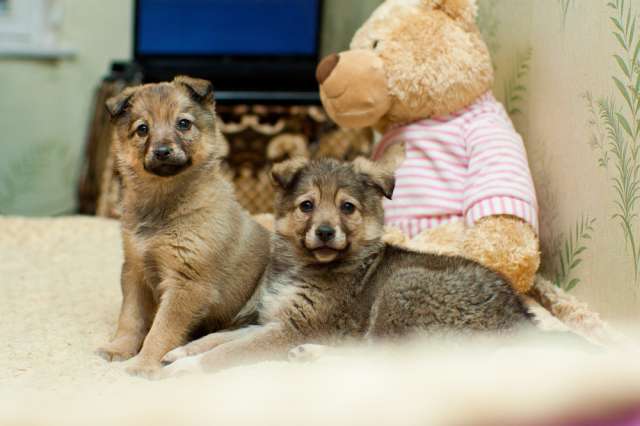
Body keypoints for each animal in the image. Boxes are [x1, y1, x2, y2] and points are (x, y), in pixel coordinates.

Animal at [96, 75, 272, 376]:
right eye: (142, 129)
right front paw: (119, 348)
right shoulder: (135, 271)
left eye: (183, 123)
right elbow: (130, 318)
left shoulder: (186, 284)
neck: (164, 203)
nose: (162, 151)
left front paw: (143, 364)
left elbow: (161, 330)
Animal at [160, 146, 528, 376]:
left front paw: (187, 368)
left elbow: (228, 352)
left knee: (382, 358)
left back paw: (314, 353)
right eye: (307, 205)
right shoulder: (274, 321)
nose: (325, 232)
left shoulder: (292, 329)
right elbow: (220, 338)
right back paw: (311, 353)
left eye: (347, 207)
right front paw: (181, 351)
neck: (305, 265)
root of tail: (521, 323)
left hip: (400, 290)